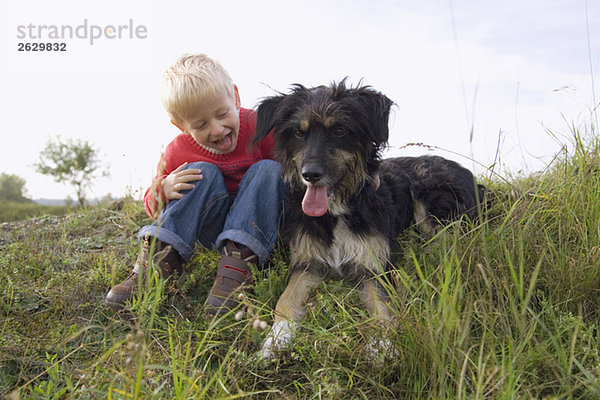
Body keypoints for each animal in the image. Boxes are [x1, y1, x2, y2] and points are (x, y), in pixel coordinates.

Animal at [252, 81, 482, 360]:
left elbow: (381, 306)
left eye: (339, 130)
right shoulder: (307, 263)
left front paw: (381, 345)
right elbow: (285, 299)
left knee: (452, 242)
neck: (339, 209)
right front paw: (274, 340)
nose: (310, 175)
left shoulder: (375, 265)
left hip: (428, 194)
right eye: (298, 133)